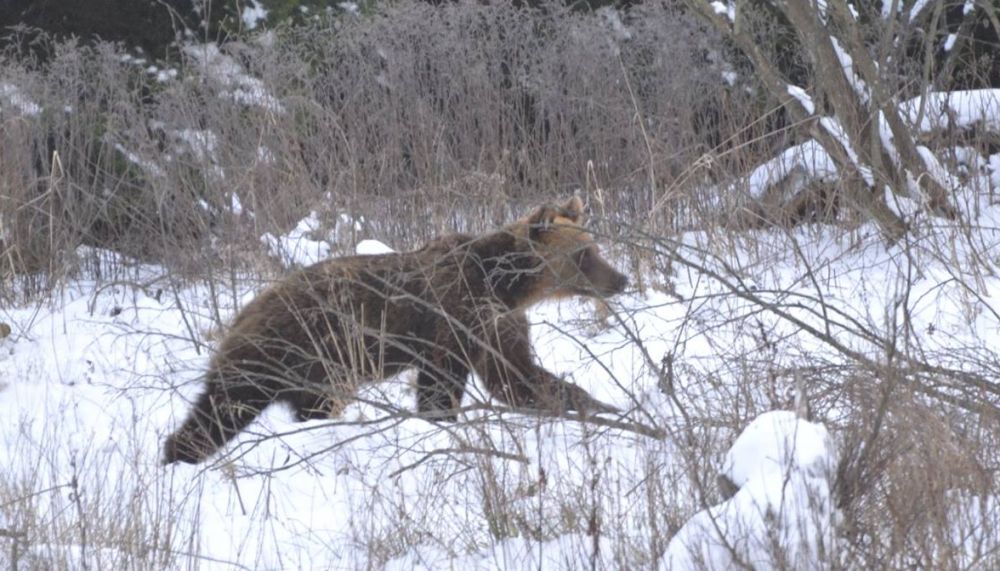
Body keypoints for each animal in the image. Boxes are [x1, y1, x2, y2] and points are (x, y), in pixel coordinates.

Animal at [165, 197, 628, 464]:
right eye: (585, 254)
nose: (620, 279)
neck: (506, 287)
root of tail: (244, 312)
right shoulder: (456, 314)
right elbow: (441, 385)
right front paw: (442, 424)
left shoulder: (499, 325)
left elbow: (519, 379)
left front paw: (600, 405)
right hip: (295, 350)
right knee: (225, 408)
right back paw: (178, 455)